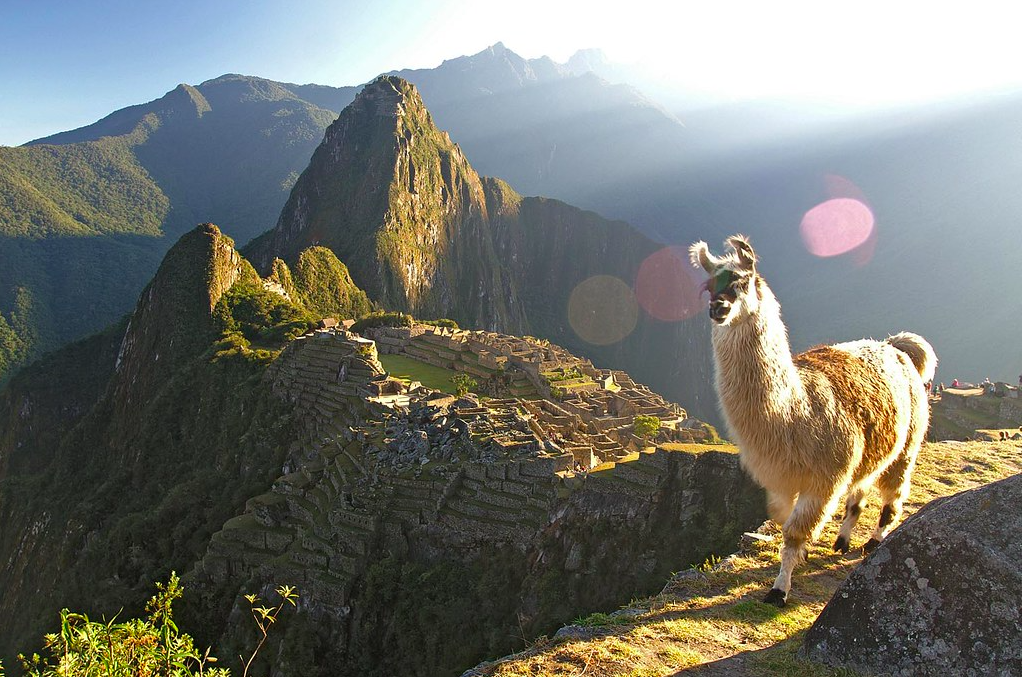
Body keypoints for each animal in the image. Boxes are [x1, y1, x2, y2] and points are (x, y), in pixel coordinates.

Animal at [690, 235, 935, 606]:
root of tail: (896, 346)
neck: (795, 413)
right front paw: (800, 557)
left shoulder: (822, 480)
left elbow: (793, 533)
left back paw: (874, 540)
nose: (718, 309)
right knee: (859, 493)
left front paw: (779, 590)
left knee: (893, 495)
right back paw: (842, 540)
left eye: (743, 282)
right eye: (708, 286)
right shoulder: (781, 481)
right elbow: (783, 523)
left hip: (907, 444)